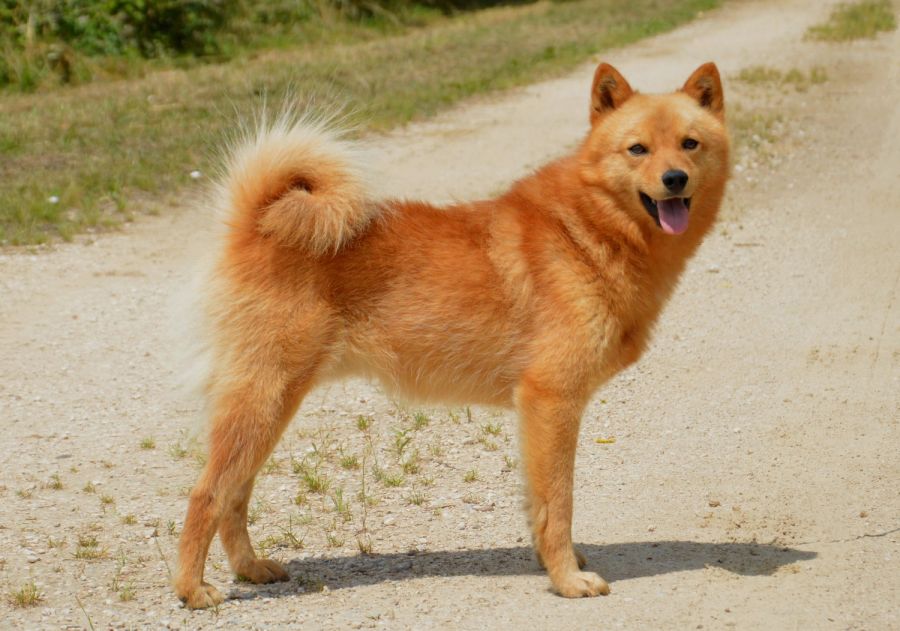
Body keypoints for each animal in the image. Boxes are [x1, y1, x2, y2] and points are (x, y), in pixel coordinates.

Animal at [174, 61, 730, 608]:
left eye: (690, 143)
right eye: (637, 148)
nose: (674, 178)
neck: (587, 229)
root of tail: (256, 222)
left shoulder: (538, 413)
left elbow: (539, 506)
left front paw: (553, 564)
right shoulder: (551, 401)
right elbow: (559, 504)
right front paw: (568, 580)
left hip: (268, 408)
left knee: (235, 495)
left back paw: (249, 569)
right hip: (264, 400)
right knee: (207, 494)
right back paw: (192, 588)